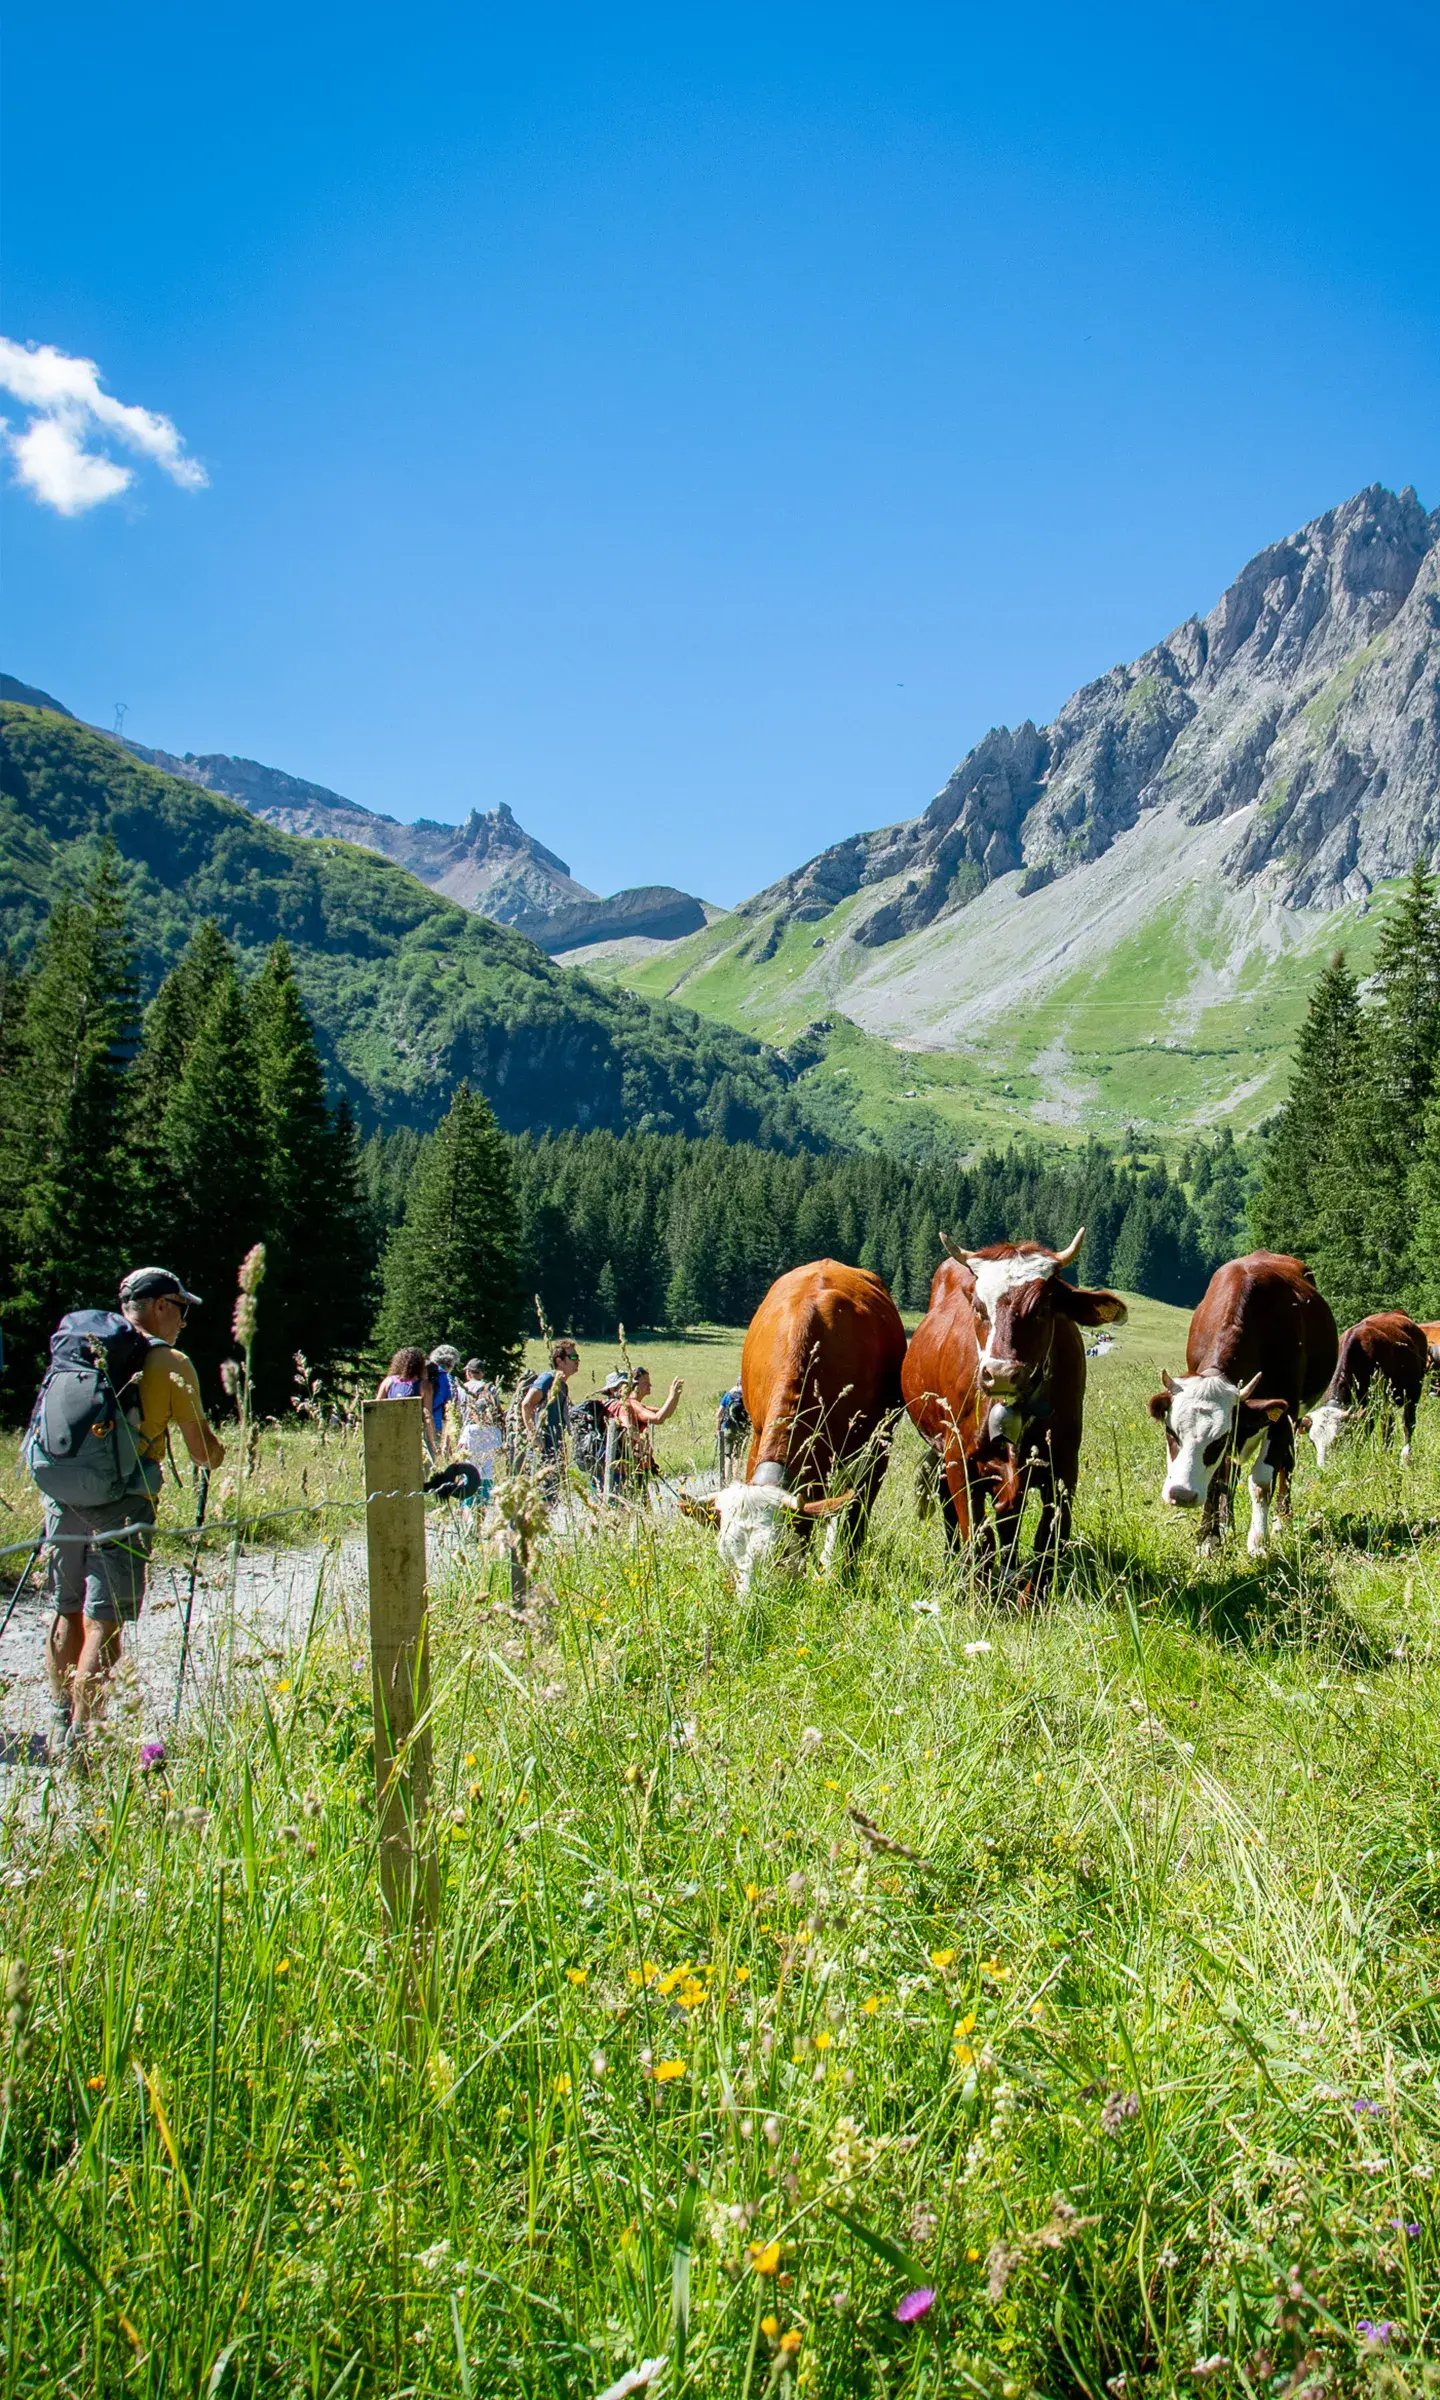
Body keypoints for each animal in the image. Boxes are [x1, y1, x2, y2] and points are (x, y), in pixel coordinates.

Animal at [901, 1229, 1127, 1590]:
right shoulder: (959, 1457)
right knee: (949, 1503)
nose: (1001, 1373)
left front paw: (1030, 1597)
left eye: (1042, 1307)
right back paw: (954, 1566)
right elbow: (978, 1537)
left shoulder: (1064, 1465)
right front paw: (978, 1595)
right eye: (978, 1308)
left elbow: (1046, 1541)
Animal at [1148, 1251, 1338, 1554]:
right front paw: (1209, 1539)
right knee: (1231, 1472)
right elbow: (1217, 1478)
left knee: (1286, 1466)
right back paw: (1227, 1524)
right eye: (1171, 1432)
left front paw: (1259, 1542)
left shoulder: (1282, 1415)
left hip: (1294, 1419)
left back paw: (1282, 1521)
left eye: (1218, 1440)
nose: (1181, 1494)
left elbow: (1261, 1480)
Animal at [1302, 1310, 1428, 1466]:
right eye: (1312, 1441)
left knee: (1407, 1424)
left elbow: (1364, 1434)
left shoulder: (1371, 1407)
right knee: (1388, 1425)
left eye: (1338, 1439)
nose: (1322, 1467)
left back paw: (1405, 1457)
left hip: (1412, 1392)